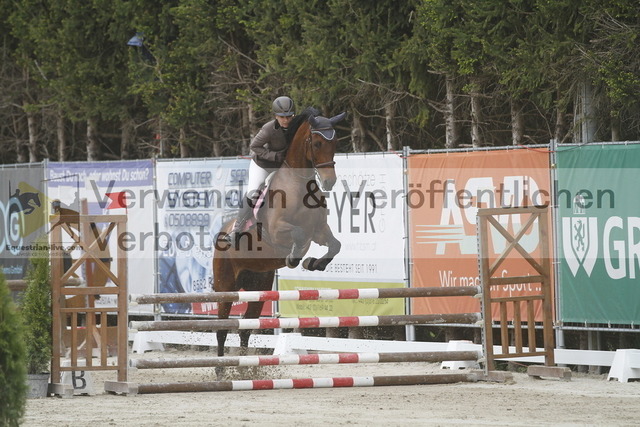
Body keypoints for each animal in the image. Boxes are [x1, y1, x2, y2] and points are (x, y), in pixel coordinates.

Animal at [212, 107, 346, 359]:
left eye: (335, 144)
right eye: (316, 143)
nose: (329, 182)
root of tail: (221, 234)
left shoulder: (319, 230)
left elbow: (335, 245)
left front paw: (314, 264)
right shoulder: (277, 232)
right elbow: (298, 235)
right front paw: (294, 258)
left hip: (258, 287)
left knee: (246, 327)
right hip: (226, 286)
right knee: (222, 329)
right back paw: (221, 367)